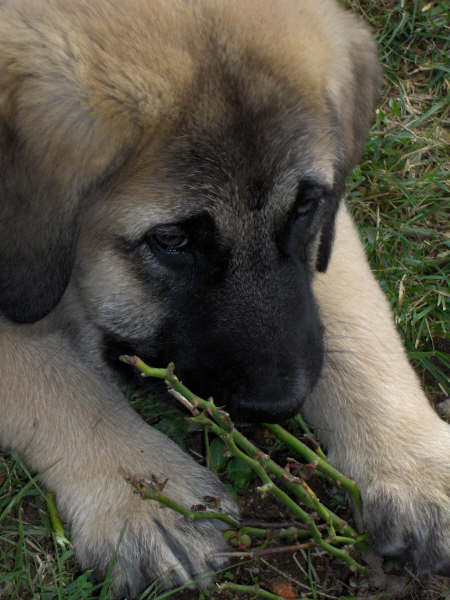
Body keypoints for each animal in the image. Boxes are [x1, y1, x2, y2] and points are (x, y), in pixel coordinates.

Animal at [0, 0, 448, 596]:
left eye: (305, 206)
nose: (281, 405)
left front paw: (415, 463)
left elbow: (355, 318)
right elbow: (52, 379)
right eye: (171, 240)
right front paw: (143, 499)